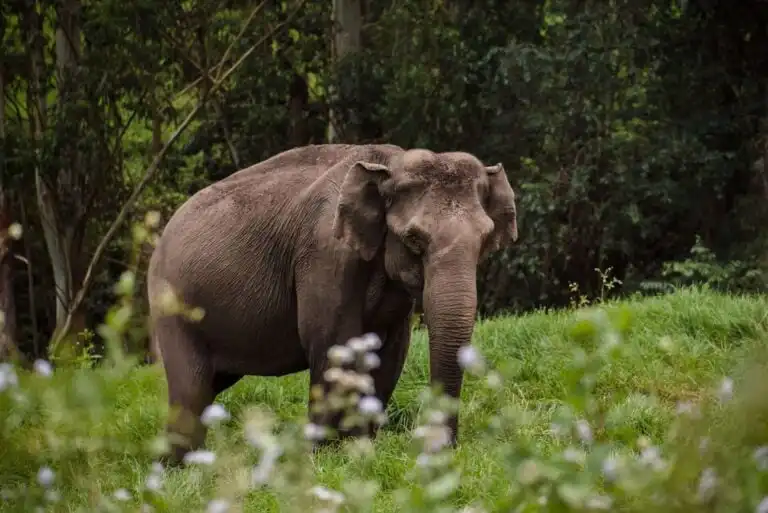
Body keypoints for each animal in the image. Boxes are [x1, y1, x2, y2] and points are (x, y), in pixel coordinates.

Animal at [146, 143, 518, 464]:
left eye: (485, 239)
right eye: (414, 239)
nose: (444, 449)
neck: (388, 162)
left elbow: (390, 352)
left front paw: (360, 450)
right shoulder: (325, 255)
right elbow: (332, 344)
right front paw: (328, 457)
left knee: (210, 385)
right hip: (171, 307)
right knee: (191, 389)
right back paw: (182, 469)